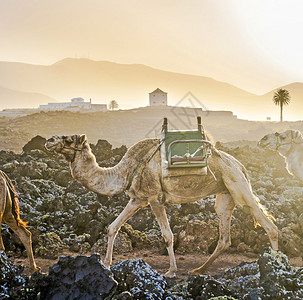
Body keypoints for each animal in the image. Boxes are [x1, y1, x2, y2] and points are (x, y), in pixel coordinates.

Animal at [45, 135, 280, 278]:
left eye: (68, 139)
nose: (48, 141)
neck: (125, 171)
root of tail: (241, 165)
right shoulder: (137, 199)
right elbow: (113, 227)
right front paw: (106, 262)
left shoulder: (155, 198)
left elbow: (168, 236)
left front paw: (171, 271)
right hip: (225, 194)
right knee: (224, 237)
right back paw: (198, 269)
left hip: (238, 187)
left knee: (269, 225)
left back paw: (276, 265)